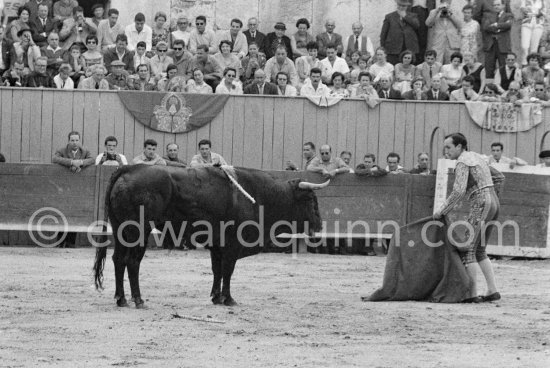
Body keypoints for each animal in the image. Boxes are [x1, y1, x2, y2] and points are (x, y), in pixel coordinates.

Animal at [92, 165, 330, 308]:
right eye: (311, 200)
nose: (319, 226)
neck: (261, 196)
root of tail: (128, 168)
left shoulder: (217, 245)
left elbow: (217, 270)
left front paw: (216, 297)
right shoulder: (233, 245)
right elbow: (228, 270)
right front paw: (229, 299)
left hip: (121, 229)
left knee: (118, 260)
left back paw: (121, 299)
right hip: (140, 230)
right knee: (132, 262)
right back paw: (138, 300)